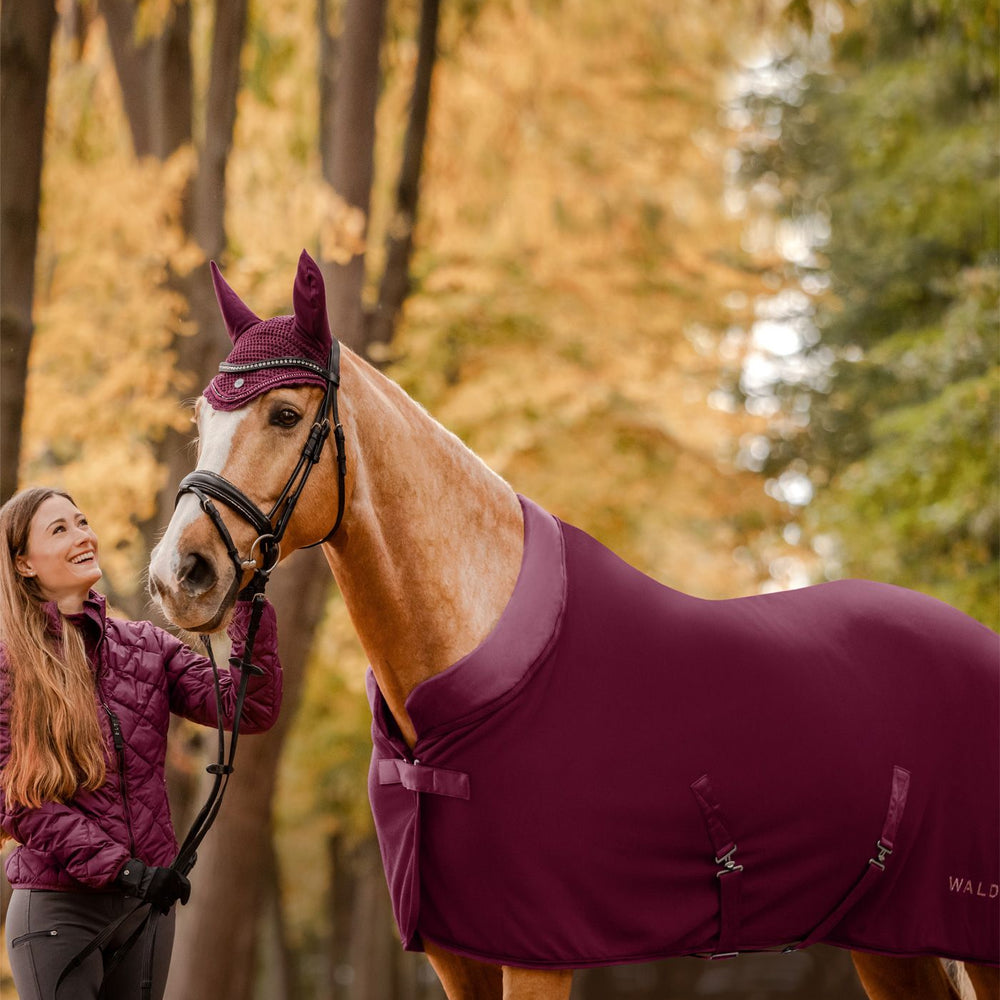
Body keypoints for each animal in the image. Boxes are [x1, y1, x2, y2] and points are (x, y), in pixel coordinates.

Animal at [150, 254, 1000, 1000]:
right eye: (201, 415)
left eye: (285, 413)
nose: (177, 575)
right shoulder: (459, 960)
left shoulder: (535, 956)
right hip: (888, 942)